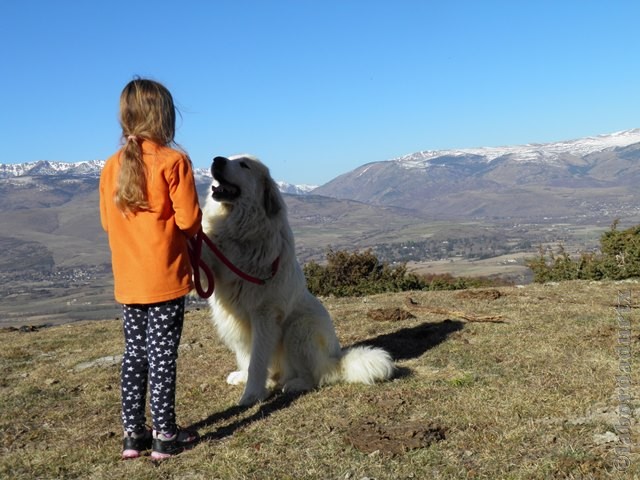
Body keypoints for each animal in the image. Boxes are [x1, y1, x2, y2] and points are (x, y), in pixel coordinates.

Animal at [201, 156, 396, 406]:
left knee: (316, 376)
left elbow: (257, 363)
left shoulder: (264, 314)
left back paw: (294, 384)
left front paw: (252, 394)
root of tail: (335, 361)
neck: (238, 232)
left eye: (244, 164)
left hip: (298, 329)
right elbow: (249, 359)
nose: (217, 160)